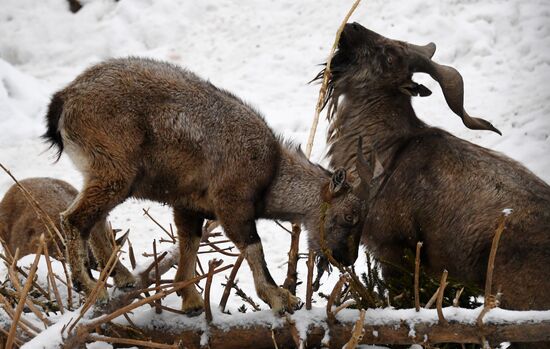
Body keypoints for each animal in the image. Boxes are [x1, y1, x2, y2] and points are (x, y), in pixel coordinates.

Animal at [43, 57, 370, 312]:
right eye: (350, 216)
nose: (347, 258)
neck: (272, 172)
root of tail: (65, 99)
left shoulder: (188, 205)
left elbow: (190, 243)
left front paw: (190, 300)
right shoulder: (232, 203)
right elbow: (254, 247)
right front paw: (279, 298)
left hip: (105, 176)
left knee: (96, 220)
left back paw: (123, 278)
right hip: (114, 172)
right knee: (73, 220)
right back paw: (90, 288)